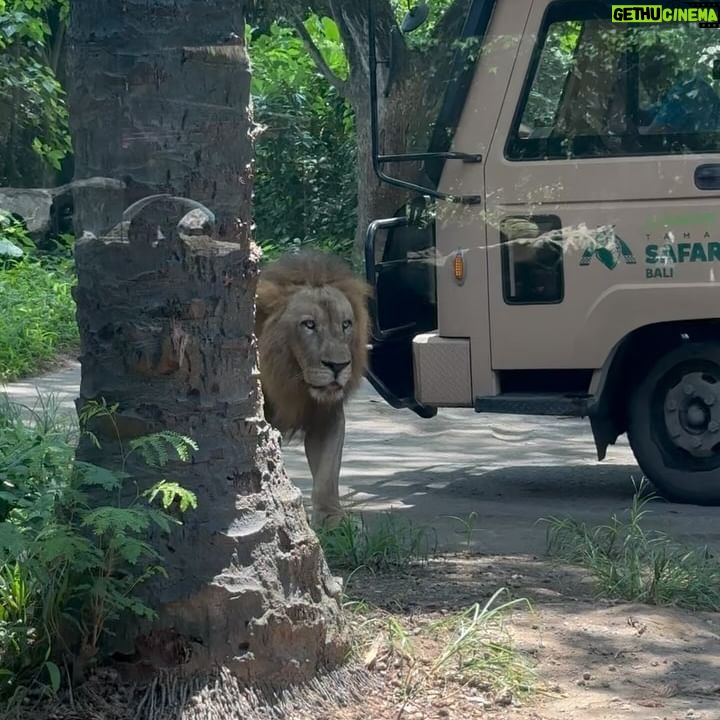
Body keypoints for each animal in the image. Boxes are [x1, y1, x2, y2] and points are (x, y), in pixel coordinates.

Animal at [255, 250, 372, 524]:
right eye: (309, 325)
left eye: (346, 324)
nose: (338, 366)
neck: (292, 383)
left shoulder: (327, 416)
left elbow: (327, 474)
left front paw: (332, 520)